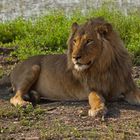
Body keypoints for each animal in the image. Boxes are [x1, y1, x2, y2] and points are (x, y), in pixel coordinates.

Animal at [9, 17, 140, 117]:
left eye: (89, 41)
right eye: (75, 41)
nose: (75, 57)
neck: (103, 67)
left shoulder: (129, 87)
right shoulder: (91, 88)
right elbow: (95, 98)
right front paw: (97, 109)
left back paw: (34, 95)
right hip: (34, 68)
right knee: (14, 96)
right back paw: (24, 103)